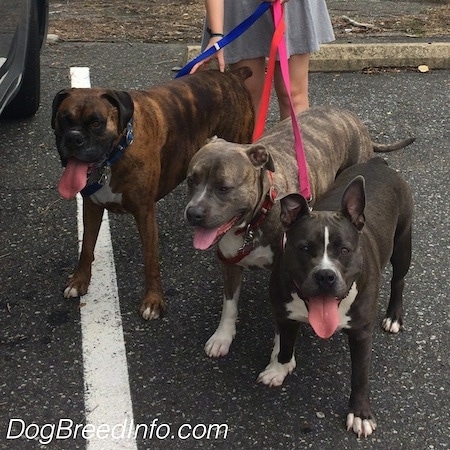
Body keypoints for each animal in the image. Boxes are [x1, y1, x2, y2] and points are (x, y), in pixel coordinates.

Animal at [51, 67, 255, 320]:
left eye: (96, 123)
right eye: (64, 119)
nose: (73, 138)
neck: (117, 153)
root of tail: (232, 74)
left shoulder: (145, 213)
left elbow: (150, 260)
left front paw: (153, 301)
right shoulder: (92, 206)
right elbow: (86, 246)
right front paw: (79, 281)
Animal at [184, 106, 414, 358]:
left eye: (224, 188)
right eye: (190, 180)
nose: (193, 213)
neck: (255, 220)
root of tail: (348, 114)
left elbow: (281, 327)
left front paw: (280, 355)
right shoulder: (230, 263)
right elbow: (229, 304)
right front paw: (222, 336)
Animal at [258, 156, 414, 438]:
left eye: (344, 250)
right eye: (304, 248)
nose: (325, 276)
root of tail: (378, 162)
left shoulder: (361, 333)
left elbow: (360, 375)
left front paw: (361, 414)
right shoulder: (285, 316)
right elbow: (285, 345)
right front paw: (278, 368)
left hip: (403, 244)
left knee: (399, 280)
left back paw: (394, 316)